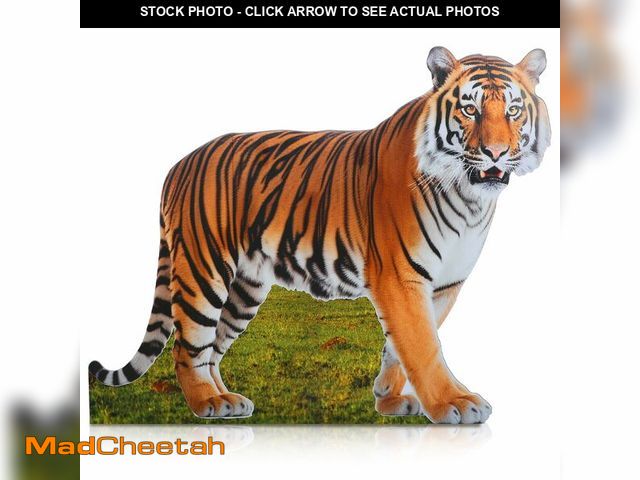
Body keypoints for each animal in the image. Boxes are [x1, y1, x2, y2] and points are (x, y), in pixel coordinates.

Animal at [90, 47, 550, 424]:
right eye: (470, 110)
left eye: (513, 111)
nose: (495, 153)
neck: (470, 198)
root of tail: (178, 164)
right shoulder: (402, 278)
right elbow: (423, 346)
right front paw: (453, 404)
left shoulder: (445, 284)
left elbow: (401, 347)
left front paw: (388, 398)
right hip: (204, 270)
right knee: (188, 348)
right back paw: (207, 403)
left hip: (245, 289)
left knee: (213, 349)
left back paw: (228, 400)